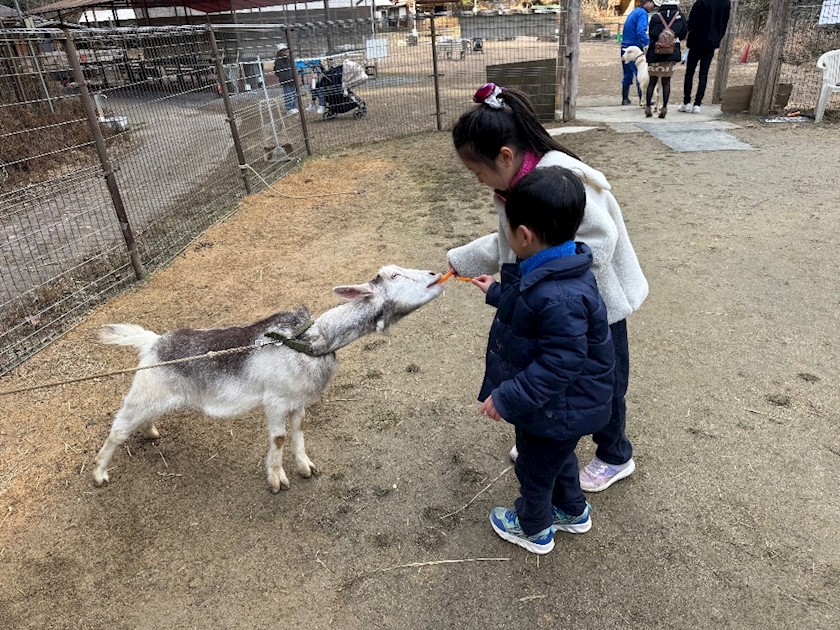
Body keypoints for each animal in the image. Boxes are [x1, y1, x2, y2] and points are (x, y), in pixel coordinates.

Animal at [93, 265, 445, 493]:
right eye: (393, 275)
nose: (435, 275)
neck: (311, 342)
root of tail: (152, 342)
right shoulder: (275, 401)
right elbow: (278, 438)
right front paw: (277, 480)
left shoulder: (298, 401)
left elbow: (299, 431)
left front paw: (305, 467)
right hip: (144, 391)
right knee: (118, 429)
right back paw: (99, 474)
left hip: (156, 394)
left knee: (142, 418)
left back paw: (150, 432)